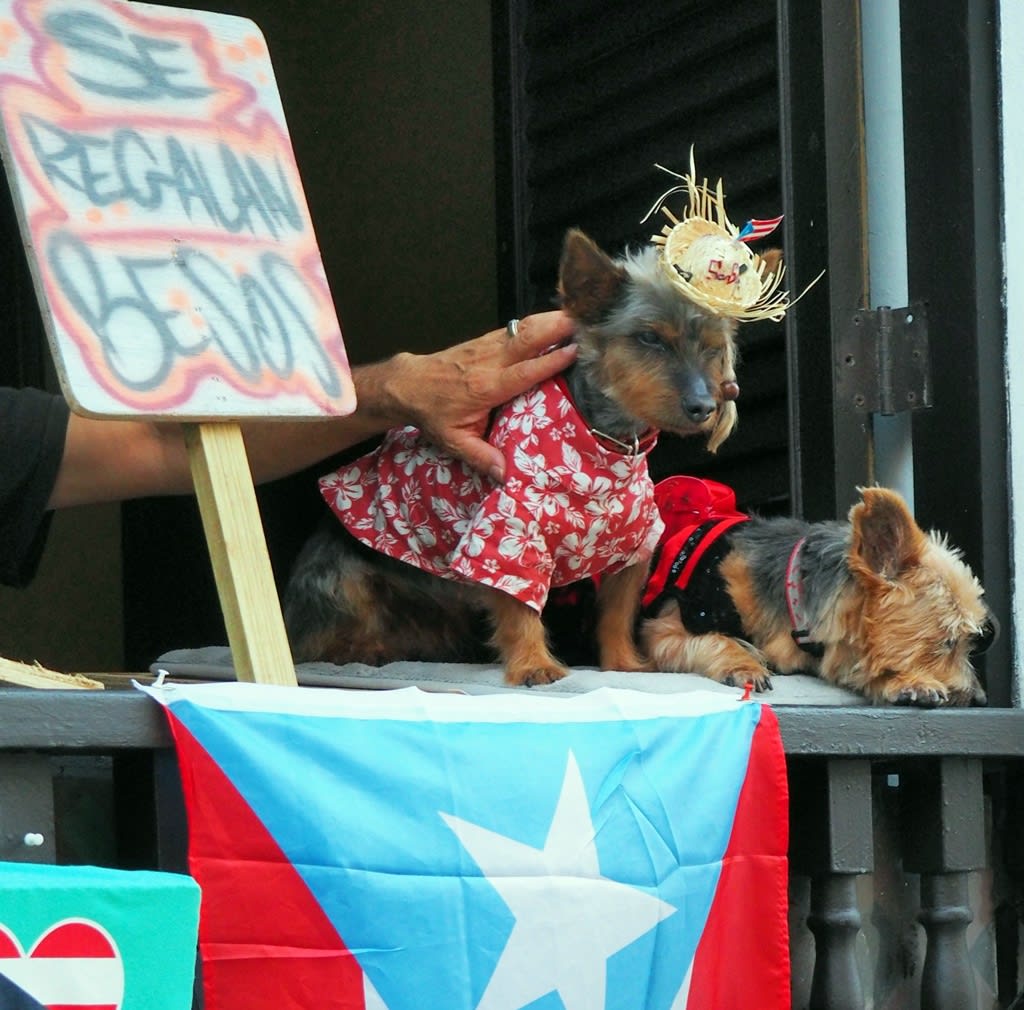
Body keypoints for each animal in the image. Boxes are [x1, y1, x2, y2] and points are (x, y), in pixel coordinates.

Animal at [638, 477, 991, 704]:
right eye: (947, 642)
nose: (981, 699)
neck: (791, 590)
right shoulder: (666, 629)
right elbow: (714, 641)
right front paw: (744, 665)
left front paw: (906, 684)